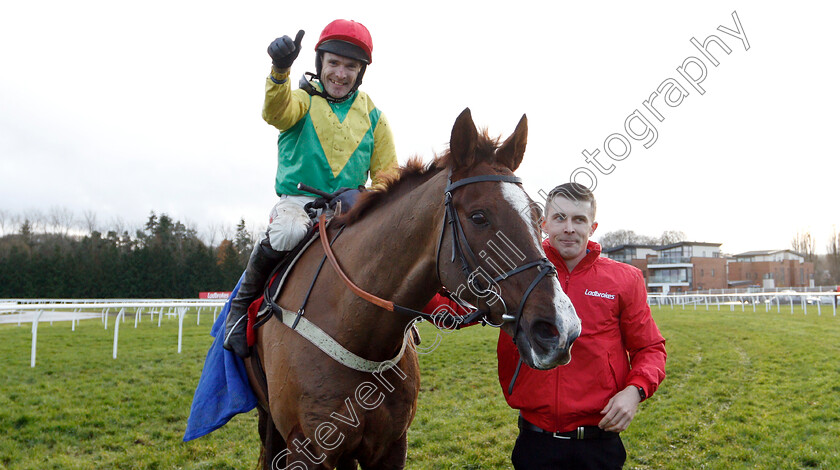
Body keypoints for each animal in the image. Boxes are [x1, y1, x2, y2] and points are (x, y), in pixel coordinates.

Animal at [246, 109, 580, 470]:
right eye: (479, 217)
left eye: (536, 213)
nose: (562, 329)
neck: (357, 331)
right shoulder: (305, 450)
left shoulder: (391, 445)